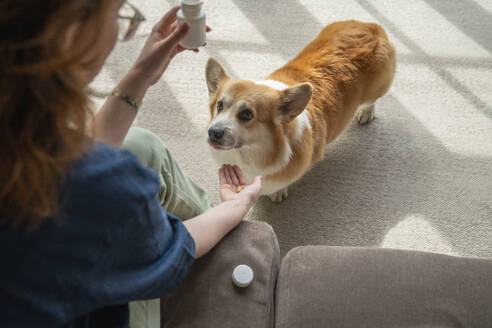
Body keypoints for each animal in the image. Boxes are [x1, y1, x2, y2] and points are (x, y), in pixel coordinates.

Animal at [205, 20, 396, 201]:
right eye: (219, 105)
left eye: (247, 114)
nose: (213, 132)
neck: (252, 154)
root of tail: (371, 26)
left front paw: (278, 194)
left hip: (378, 88)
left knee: (371, 100)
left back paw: (365, 112)